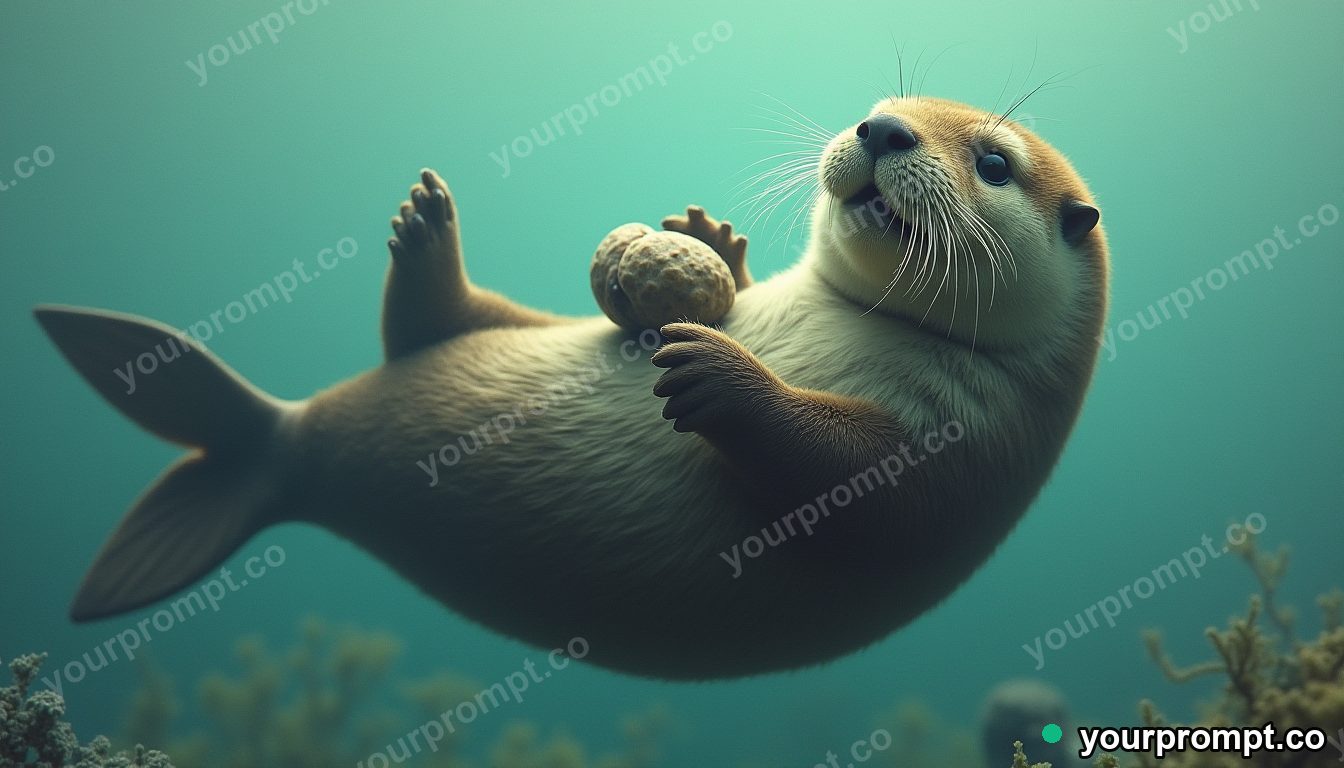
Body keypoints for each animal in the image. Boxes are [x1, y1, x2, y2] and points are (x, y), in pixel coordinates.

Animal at [35, 96, 1106, 680]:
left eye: (994, 161)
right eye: (881, 103)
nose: (879, 129)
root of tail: (277, 441)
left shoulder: (969, 447)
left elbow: (863, 486)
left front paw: (717, 372)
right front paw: (710, 241)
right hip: (498, 336)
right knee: (436, 324)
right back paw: (425, 230)